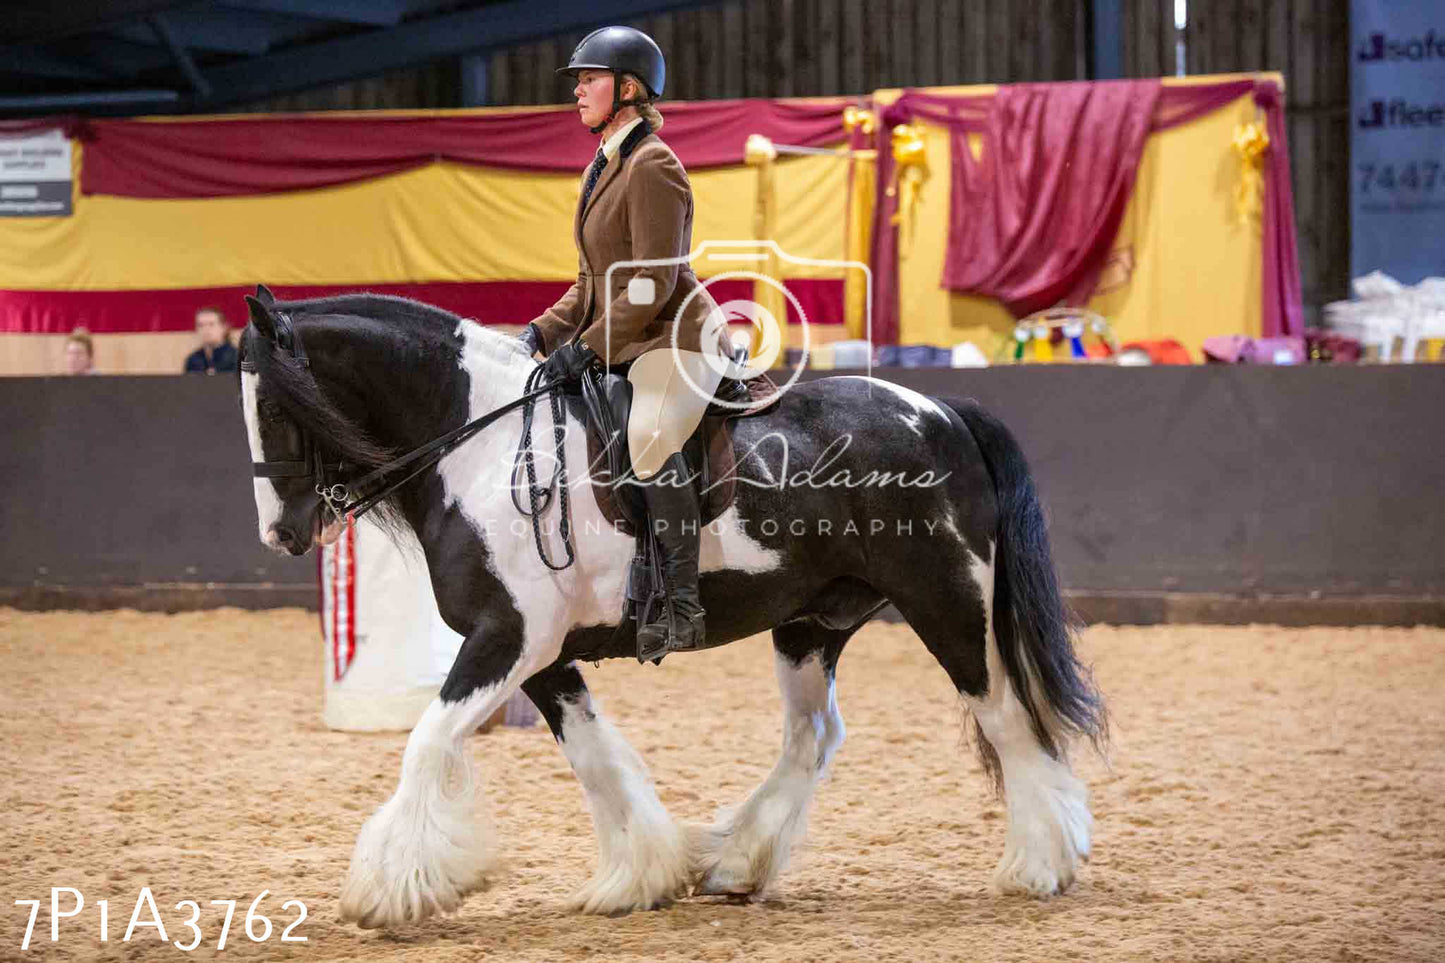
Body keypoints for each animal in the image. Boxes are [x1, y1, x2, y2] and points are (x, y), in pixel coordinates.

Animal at [239, 290, 1103, 925]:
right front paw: (638, 875)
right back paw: (733, 861)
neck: (482, 450)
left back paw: (1037, 864)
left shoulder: (505, 639)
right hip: (810, 623)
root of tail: (943, 412)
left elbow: (425, 742)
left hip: (946, 601)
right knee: (812, 736)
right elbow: (594, 757)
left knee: (1002, 715)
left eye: (276, 409)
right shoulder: (543, 656)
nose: (280, 534)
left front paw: (388, 887)